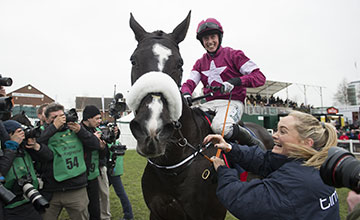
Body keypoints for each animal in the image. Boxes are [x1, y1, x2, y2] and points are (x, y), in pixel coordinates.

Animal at [126, 12, 272, 220]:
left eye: (180, 63)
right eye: (133, 60)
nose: (152, 130)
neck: (173, 167)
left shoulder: (212, 213)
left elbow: (256, 73)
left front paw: (229, 83)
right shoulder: (157, 212)